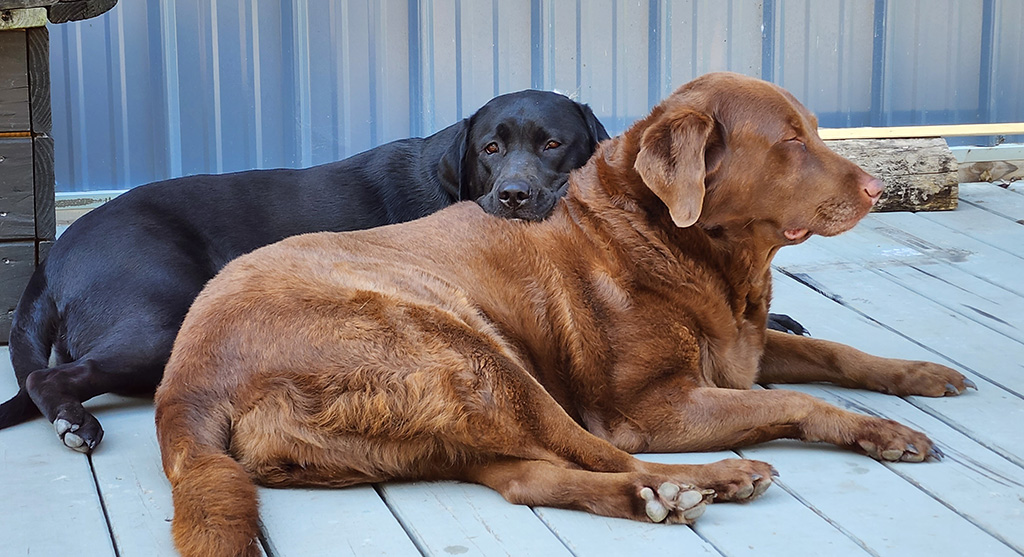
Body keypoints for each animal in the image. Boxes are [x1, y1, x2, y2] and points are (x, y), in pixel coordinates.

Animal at [0, 88, 798, 452]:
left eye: (553, 144)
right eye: (490, 147)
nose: (513, 195)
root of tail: (53, 258)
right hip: (161, 321)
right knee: (50, 379)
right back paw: (74, 423)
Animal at [151, 73, 966, 557]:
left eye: (817, 130)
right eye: (792, 140)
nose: (874, 187)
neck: (675, 240)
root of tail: (183, 379)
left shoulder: (746, 346)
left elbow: (835, 353)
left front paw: (919, 373)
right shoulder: (655, 405)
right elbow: (796, 399)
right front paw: (881, 431)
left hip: (434, 416)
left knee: (525, 477)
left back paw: (652, 497)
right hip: (469, 351)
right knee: (595, 450)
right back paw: (706, 479)